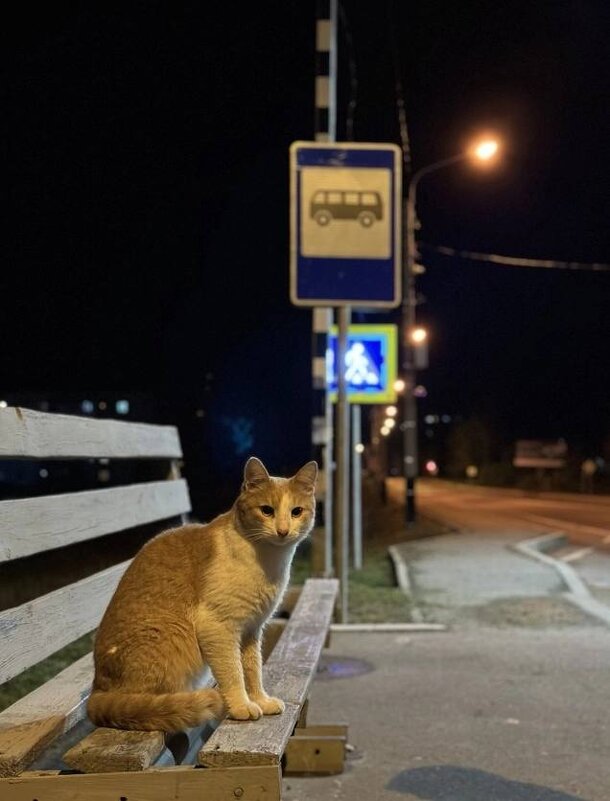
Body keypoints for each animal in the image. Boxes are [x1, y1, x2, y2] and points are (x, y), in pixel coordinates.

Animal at [88, 456, 316, 732]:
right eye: (266, 510)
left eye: (296, 512)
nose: (282, 531)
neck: (269, 561)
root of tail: (97, 687)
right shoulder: (218, 627)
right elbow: (233, 673)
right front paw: (241, 705)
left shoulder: (252, 629)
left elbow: (253, 670)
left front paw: (260, 699)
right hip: (170, 635)